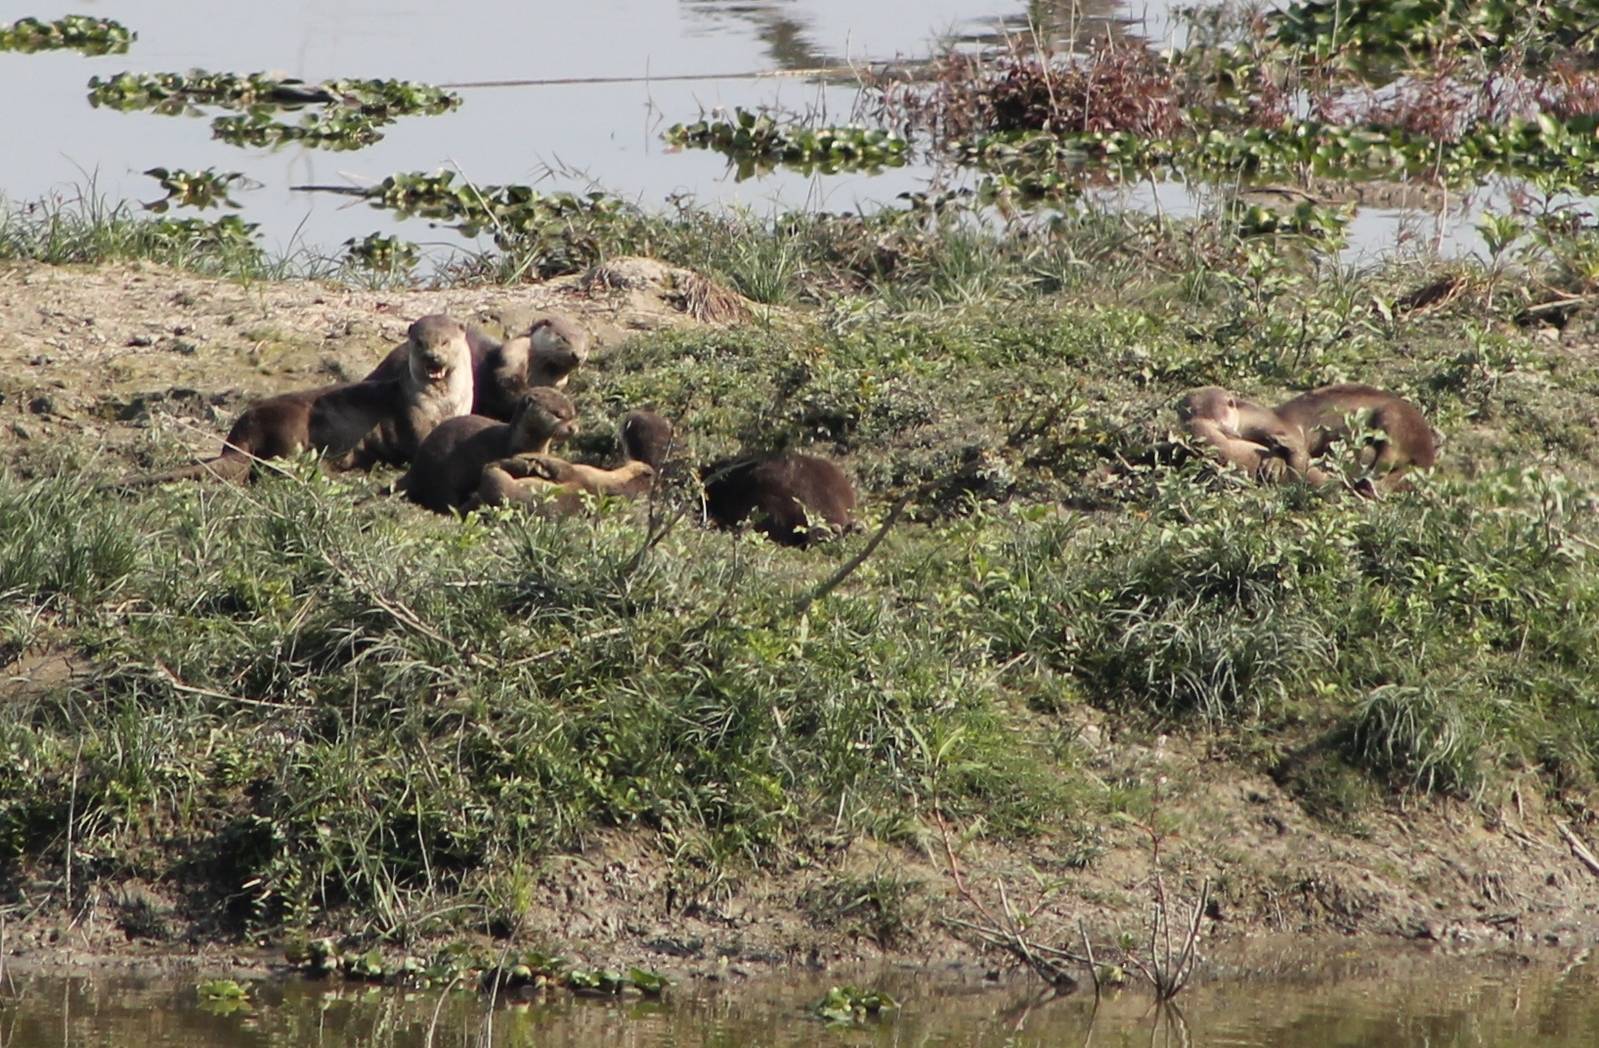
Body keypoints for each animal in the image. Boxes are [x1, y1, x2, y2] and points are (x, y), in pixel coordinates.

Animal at [117, 315, 474, 487]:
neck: (445, 403)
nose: (432, 358)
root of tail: (240, 432)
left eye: (444, 342)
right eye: (419, 342)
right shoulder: (413, 417)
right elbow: (420, 444)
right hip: (291, 427)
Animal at [365, 315, 590, 422]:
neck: (539, 374)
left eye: (585, 345)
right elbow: (506, 387)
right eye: (563, 338)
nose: (578, 355)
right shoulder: (511, 359)